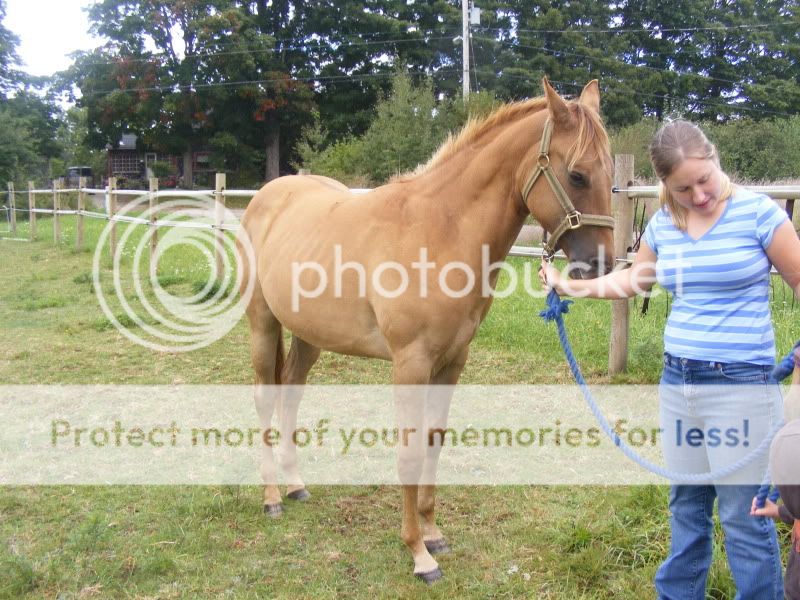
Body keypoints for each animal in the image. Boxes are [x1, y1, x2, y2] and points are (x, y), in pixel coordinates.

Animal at [236, 77, 612, 584]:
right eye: (576, 175)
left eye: (612, 175)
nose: (602, 265)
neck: (440, 229)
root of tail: (267, 195)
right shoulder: (410, 363)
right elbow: (410, 452)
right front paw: (418, 553)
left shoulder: (452, 361)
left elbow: (434, 440)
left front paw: (434, 534)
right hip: (263, 322)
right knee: (263, 397)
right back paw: (273, 497)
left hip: (309, 335)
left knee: (291, 391)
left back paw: (296, 486)